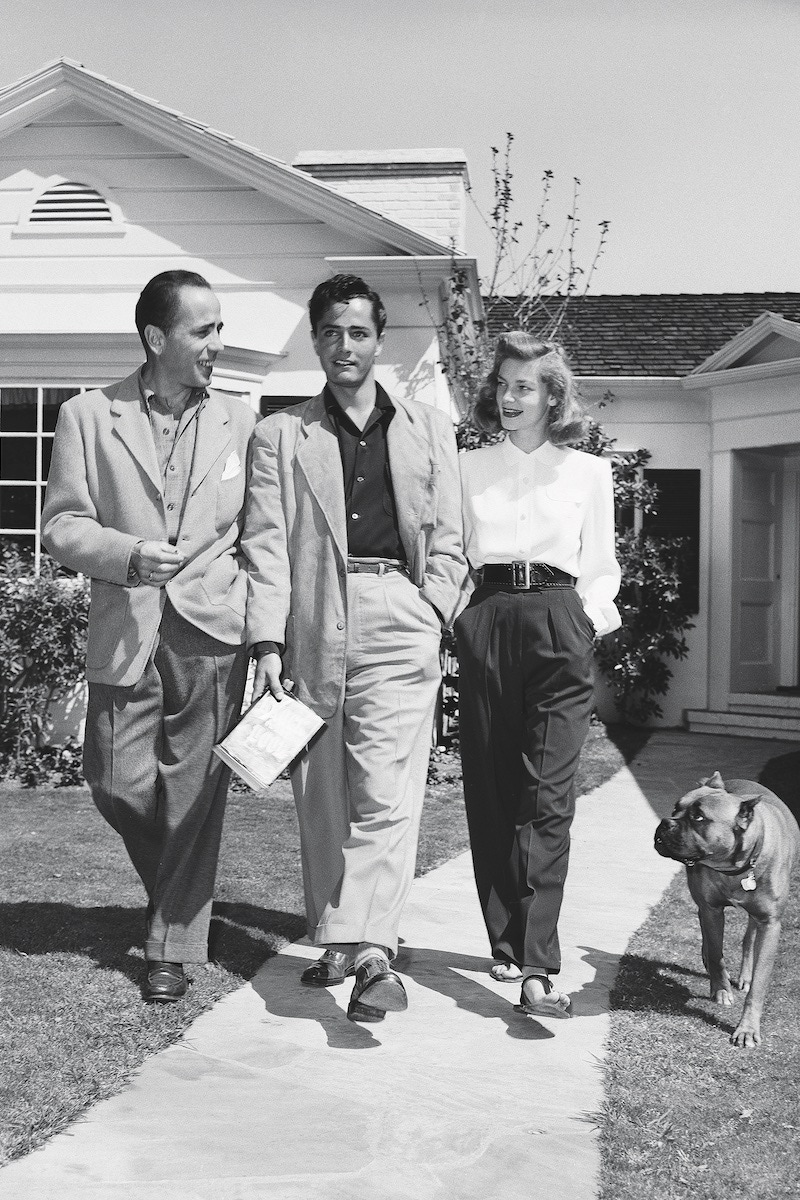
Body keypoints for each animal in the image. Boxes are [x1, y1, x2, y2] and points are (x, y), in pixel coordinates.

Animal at [652, 772, 796, 1046]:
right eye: (676, 808)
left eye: (698, 817)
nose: (664, 822)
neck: (736, 868)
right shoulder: (711, 910)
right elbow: (716, 952)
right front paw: (720, 990)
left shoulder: (769, 923)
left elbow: (759, 982)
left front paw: (747, 1029)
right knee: (708, 937)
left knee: (748, 938)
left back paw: (745, 976)